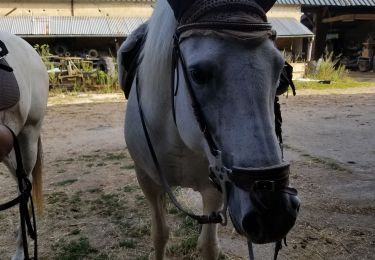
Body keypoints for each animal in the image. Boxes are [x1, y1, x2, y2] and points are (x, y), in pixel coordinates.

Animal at [119, 1, 302, 258]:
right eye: (197, 74)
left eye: (280, 72)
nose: (274, 214)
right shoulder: (147, 181)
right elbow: (159, 235)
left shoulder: (215, 188)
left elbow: (208, 245)